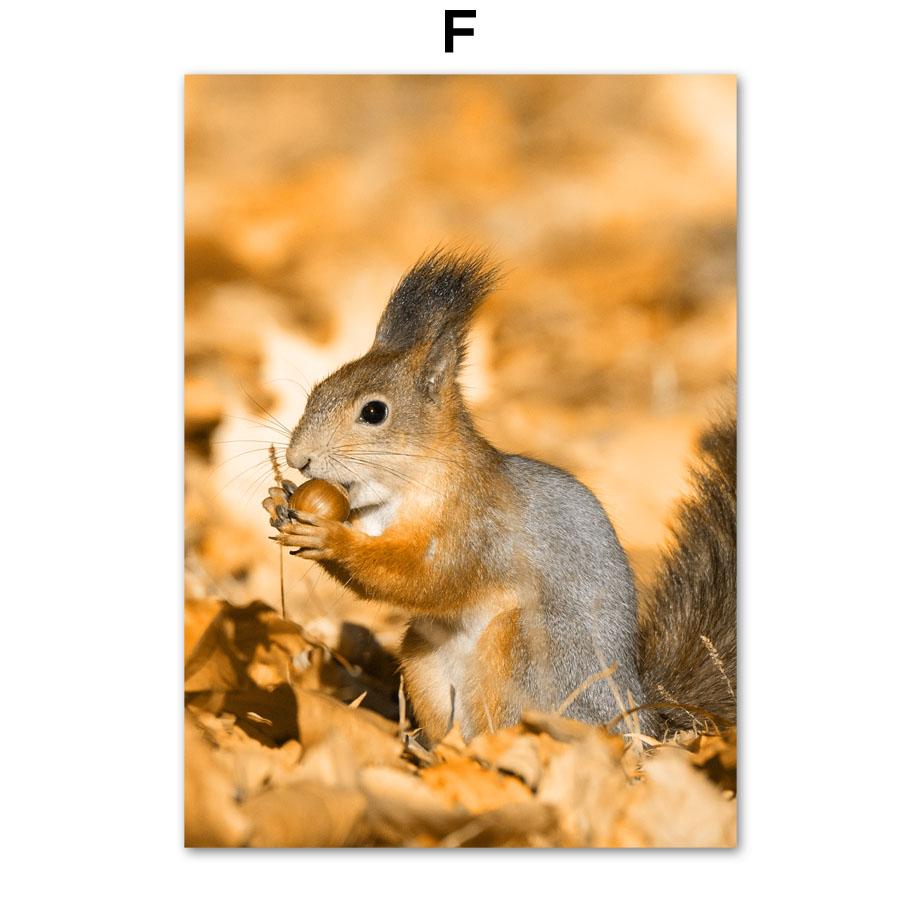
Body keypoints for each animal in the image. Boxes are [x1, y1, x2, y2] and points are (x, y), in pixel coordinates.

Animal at [263, 250, 736, 744]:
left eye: (374, 412)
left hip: (522, 648)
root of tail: (636, 723)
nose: (297, 458)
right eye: (318, 390)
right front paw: (279, 500)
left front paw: (328, 537)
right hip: (423, 658)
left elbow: (424, 578)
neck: (405, 489)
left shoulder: (479, 525)